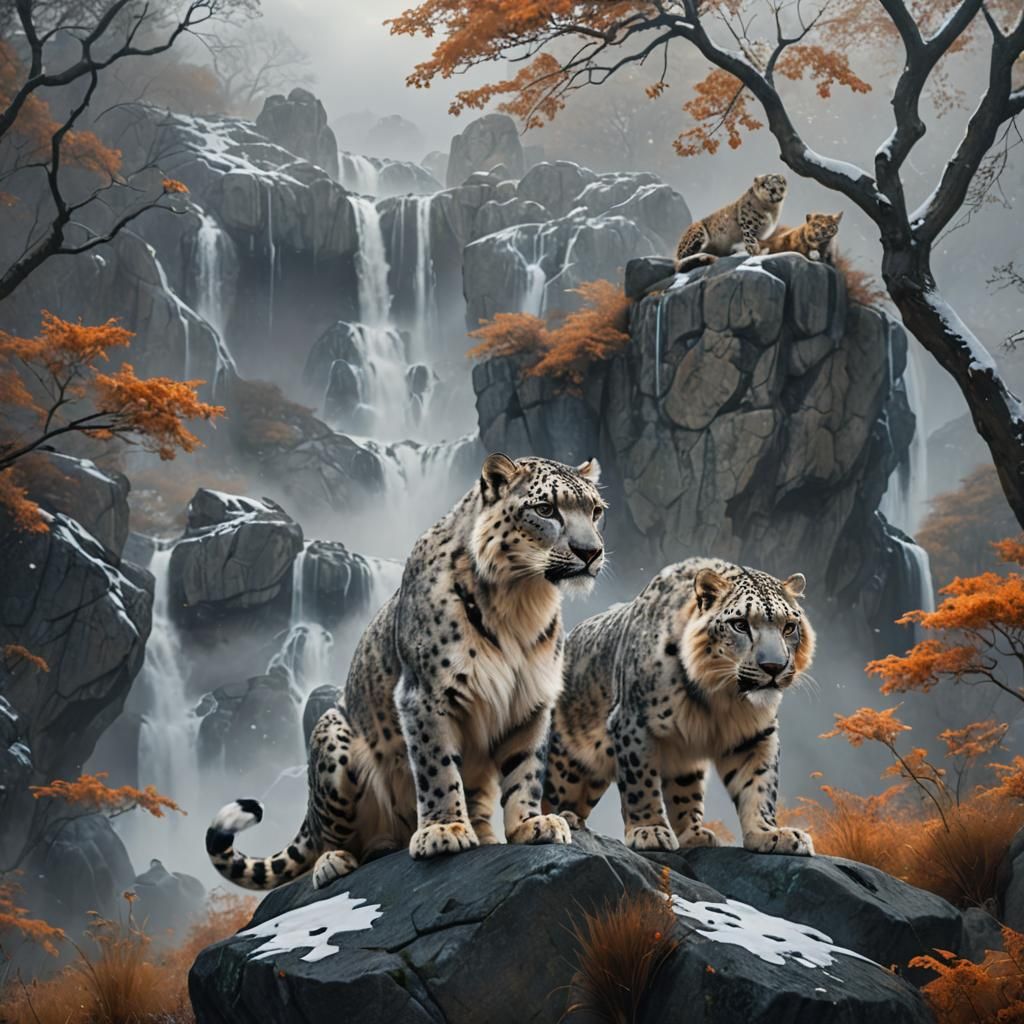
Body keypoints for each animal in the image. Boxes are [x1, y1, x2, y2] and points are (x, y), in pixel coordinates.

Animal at [206, 453, 606, 890]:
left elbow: (526, 769)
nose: (591, 551)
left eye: (595, 511)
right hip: (332, 739)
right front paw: (444, 830)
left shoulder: (531, 699)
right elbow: (437, 767)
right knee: (329, 834)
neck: (522, 600)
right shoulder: (426, 695)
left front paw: (532, 824)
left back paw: (482, 833)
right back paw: (336, 861)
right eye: (546, 509)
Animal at [545, 557, 816, 857]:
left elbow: (759, 785)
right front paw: (650, 830)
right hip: (563, 761)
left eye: (789, 626)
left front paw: (770, 833)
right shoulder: (634, 723)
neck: (722, 699)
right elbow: (641, 783)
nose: (774, 667)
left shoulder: (755, 734)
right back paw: (557, 820)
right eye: (740, 624)